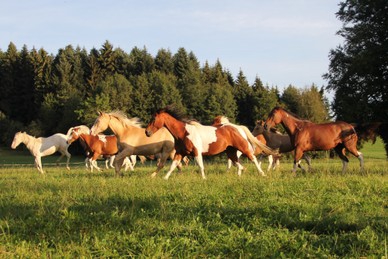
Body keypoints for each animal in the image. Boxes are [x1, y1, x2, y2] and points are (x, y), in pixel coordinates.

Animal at [144, 106, 278, 180]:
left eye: (154, 118)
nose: (147, 132)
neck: (184, 133)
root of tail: (238, 127)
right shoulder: (180, 153)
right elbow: (173, 166)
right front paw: (164, 178)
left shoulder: (197, 152)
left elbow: (200, 166)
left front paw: (204, 178)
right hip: (230, 151)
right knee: (237, 163)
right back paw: (240, 174)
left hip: (243, 147)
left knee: (253, 159)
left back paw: (262, 174)